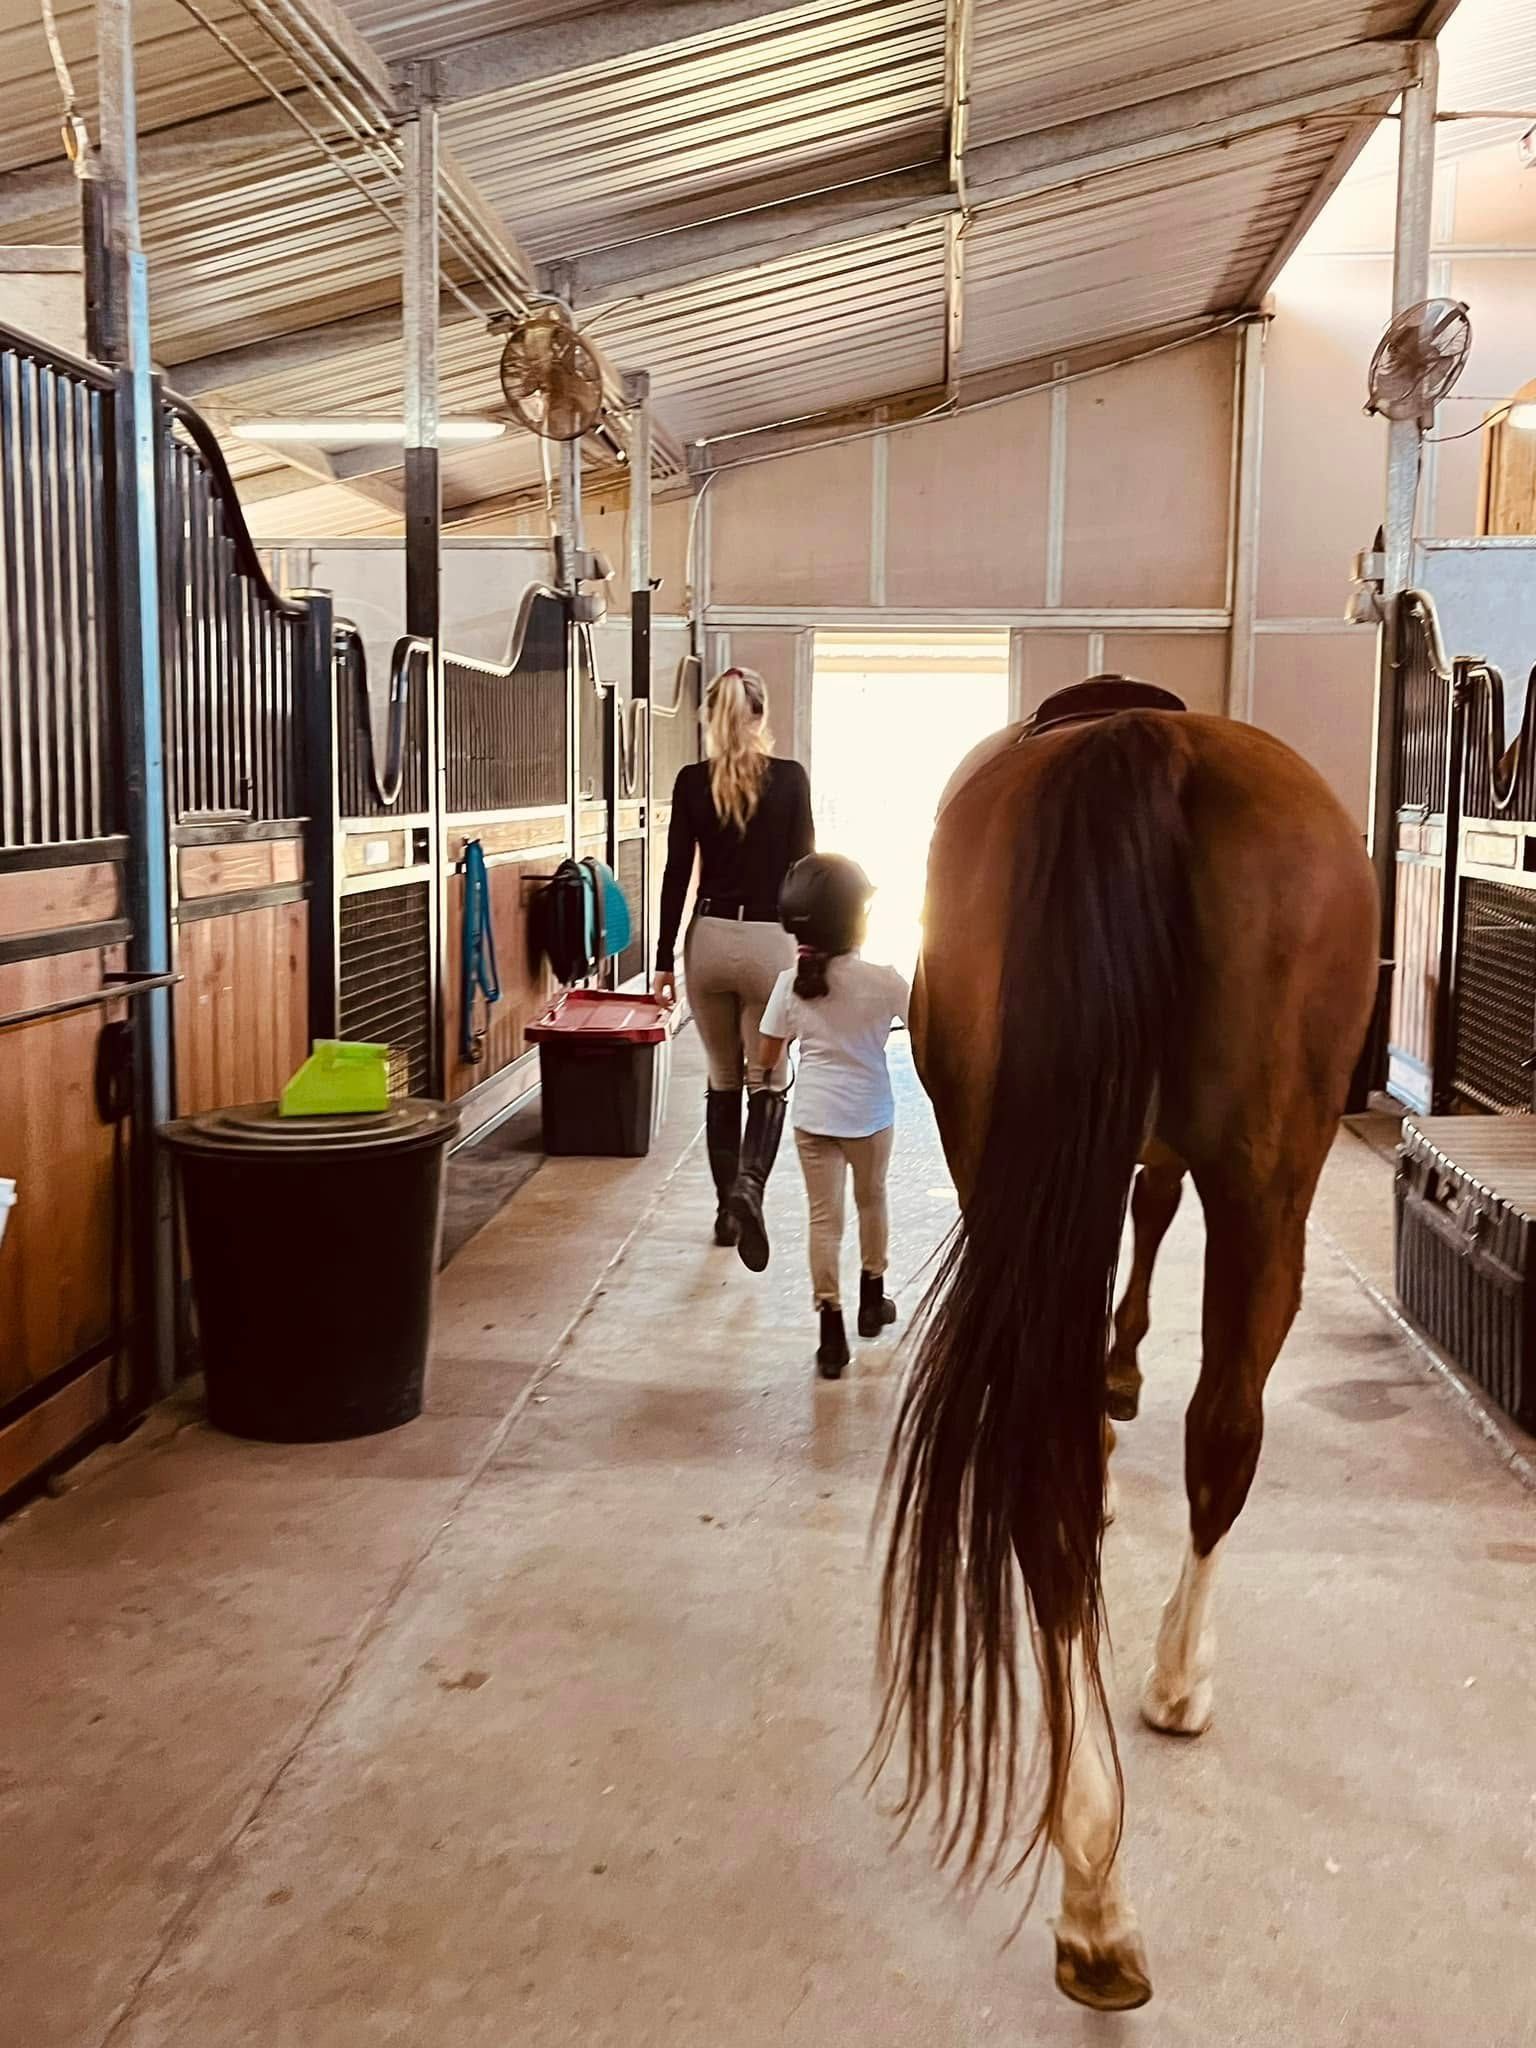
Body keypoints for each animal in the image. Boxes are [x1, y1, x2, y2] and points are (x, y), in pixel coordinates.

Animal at [872, 680, 1378, 2012]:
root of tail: (1139, 737)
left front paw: (1116, 1371)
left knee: (1091, 1468)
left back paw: (1096, 1887)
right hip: (1268, 1190)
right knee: (1212, 1438)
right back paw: (1163, 1712)